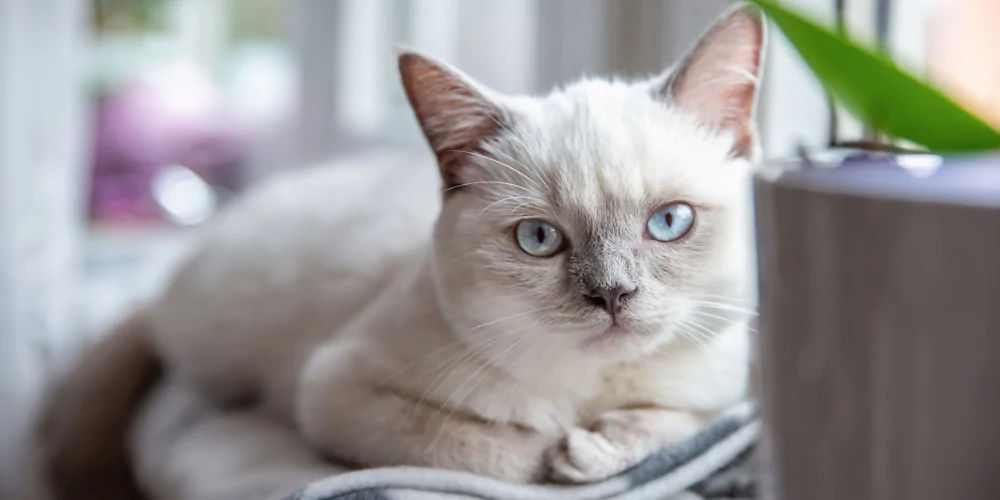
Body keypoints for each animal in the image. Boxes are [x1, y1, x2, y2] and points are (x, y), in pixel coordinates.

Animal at [41, 2, 764, 496]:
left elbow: (673, 423)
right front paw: (562, 451)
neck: (587, 391)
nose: (612, 295)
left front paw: (592, 449)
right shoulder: (338, 391)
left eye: (668, 223)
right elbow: (501, 454)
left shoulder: (725, 395)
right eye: (539, 239)